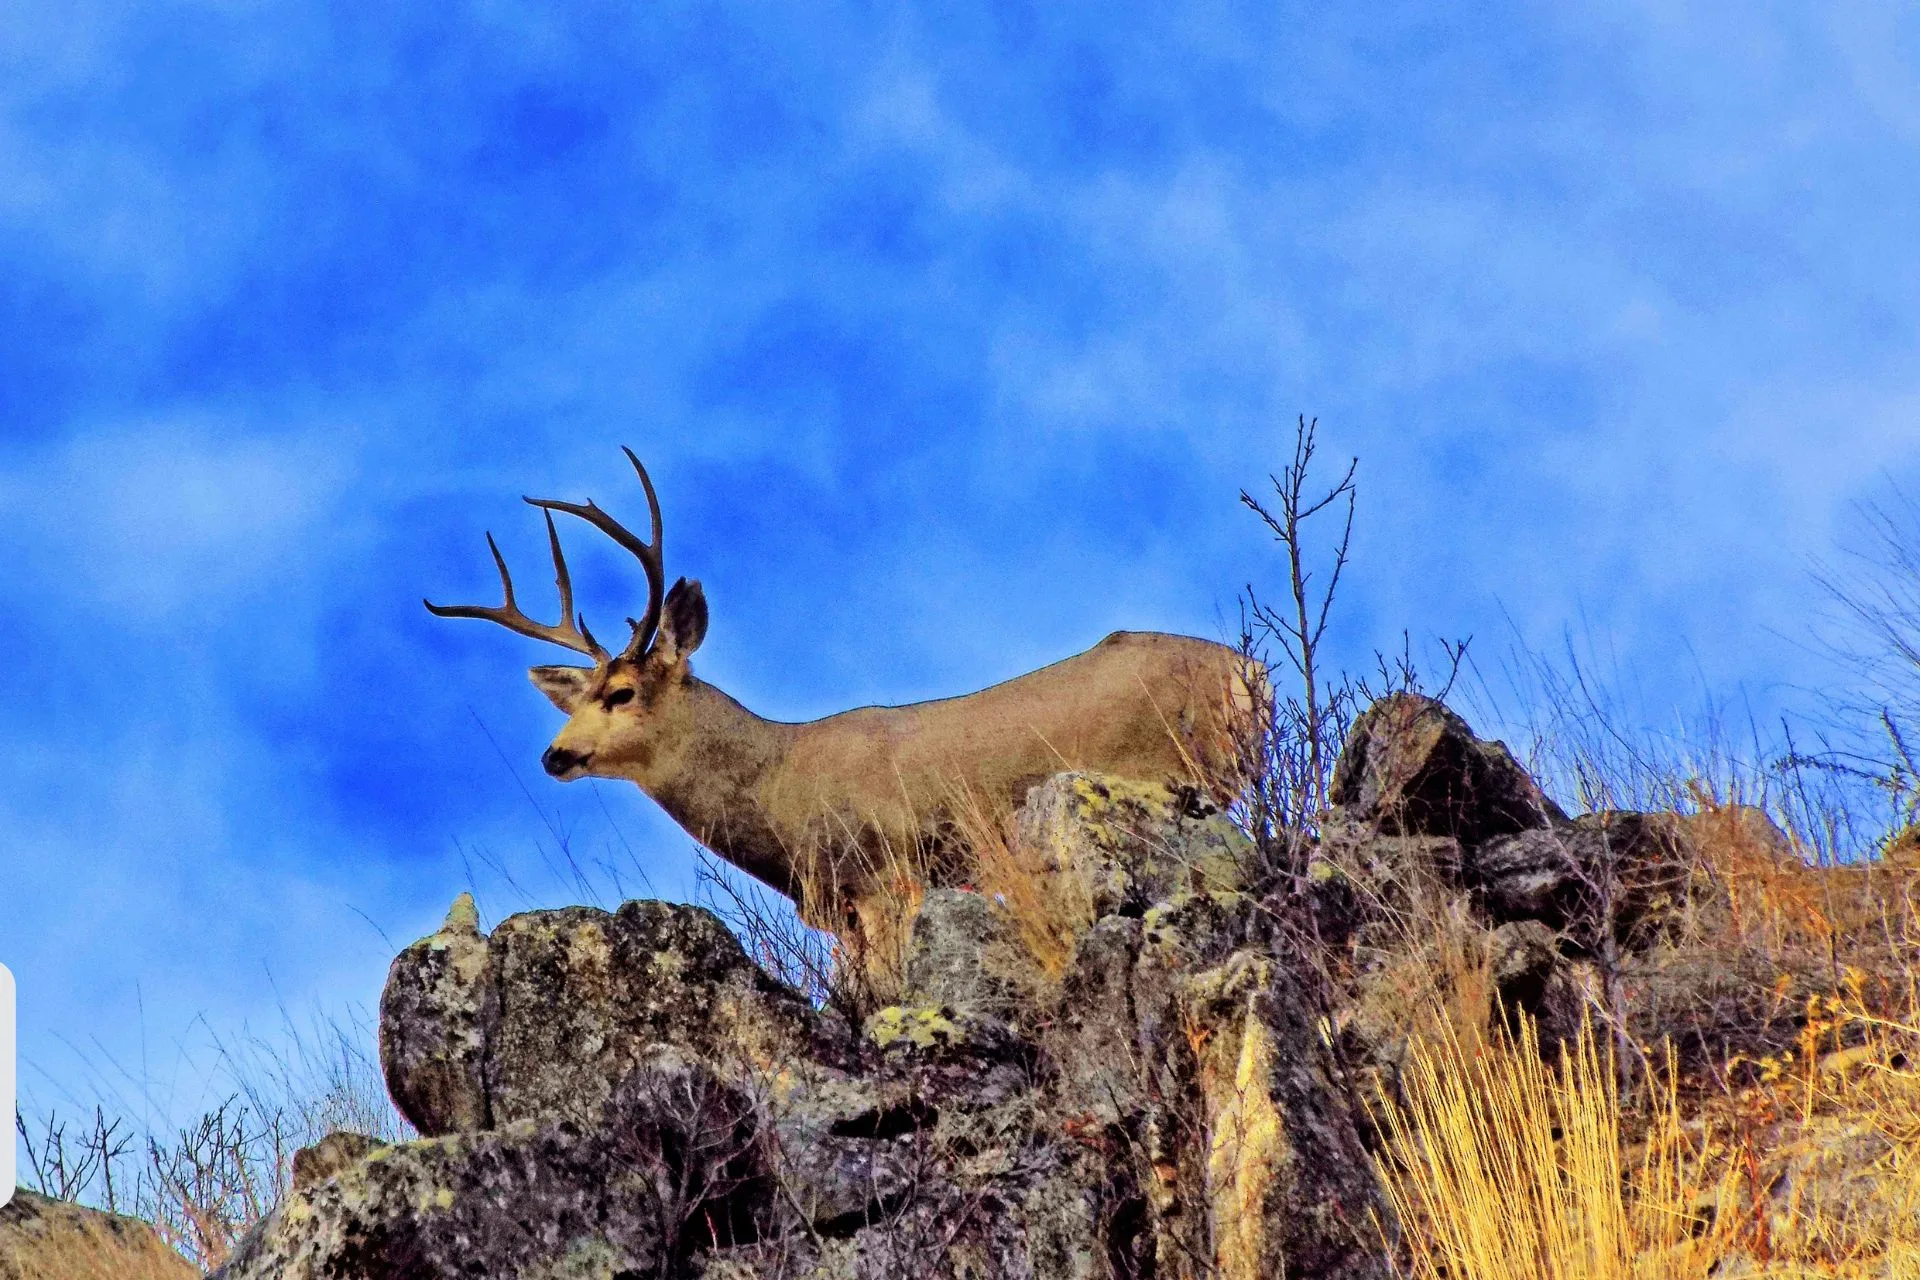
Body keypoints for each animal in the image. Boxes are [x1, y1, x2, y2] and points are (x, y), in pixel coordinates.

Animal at [427, 448, 1260, 963]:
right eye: (575, 700)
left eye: (623, 692)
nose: (554, 754)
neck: (777, 789)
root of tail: (1249, 671)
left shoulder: (885, 874)